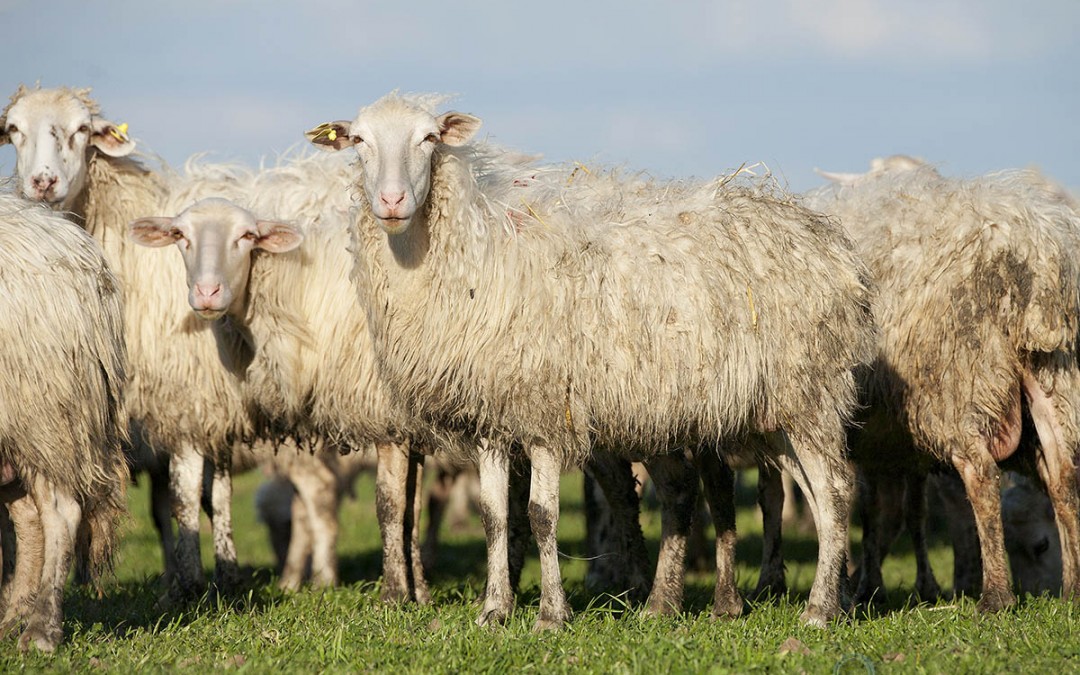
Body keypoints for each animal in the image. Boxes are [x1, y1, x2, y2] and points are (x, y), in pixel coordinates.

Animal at [305, 92, 875, 628]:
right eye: (359, 141)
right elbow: (493, 515)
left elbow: (541, 515)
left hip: (810, 392)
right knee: (812, 496)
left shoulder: (545, 410)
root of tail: (830, 242)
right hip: (774, 411)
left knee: (837, 491)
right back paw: (823, 601)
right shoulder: (494, 412)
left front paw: (550, 614)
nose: (392, 200)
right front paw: (494, 610)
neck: (473, 256)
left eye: (428, 138)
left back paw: (818, 610)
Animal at [809, 156, 1080, 611]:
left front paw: (863, 585)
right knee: (1063, 476)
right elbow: (878, 511)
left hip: (958, 381)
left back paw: (995, 596)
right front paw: (867, 584)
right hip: (1055, 377)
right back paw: (1072, 589)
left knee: (982, 477)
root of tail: (1035, 250)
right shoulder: (879, 440)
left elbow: (872, 509)